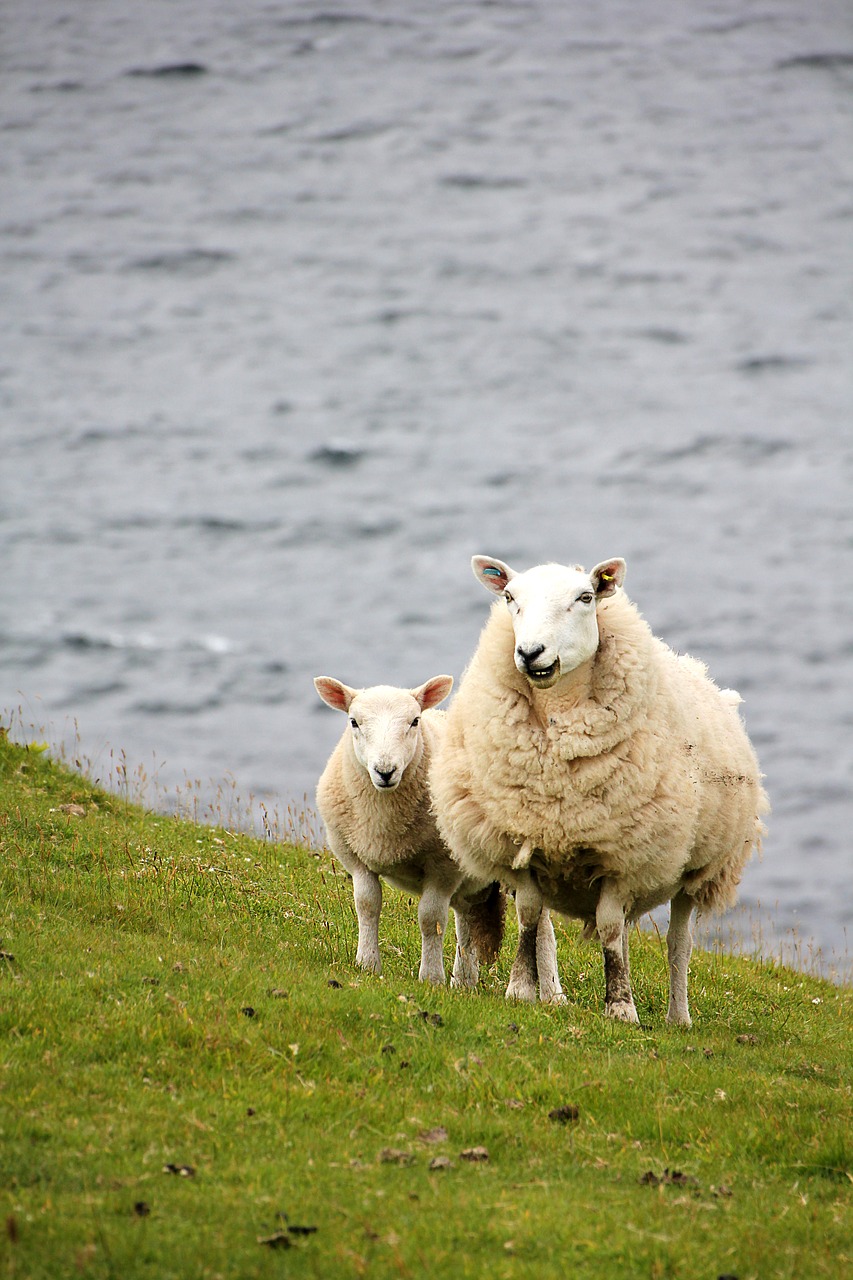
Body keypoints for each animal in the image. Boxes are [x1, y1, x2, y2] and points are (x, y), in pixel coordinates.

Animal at [312, 675, 502, 983]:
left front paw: (431, 977)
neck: (383, 821)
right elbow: (366, 904)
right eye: (354, 722)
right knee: (467, 919)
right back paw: (464, 981)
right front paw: (367, 963)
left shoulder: (444, 866)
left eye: (415, 721)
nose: (385, 771)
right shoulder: (354, 857)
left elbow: (431, 919)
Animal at [427, 555, 768, 1024]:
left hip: (697, 869)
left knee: (677, 944)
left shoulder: (622, 857)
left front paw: (620, 1007)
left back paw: (677, 1017)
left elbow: (607, 928)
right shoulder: (525, 843)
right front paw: (521, 989)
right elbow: (530, 916)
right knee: (610, 929)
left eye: (585, 598)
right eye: (510, 597)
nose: (530, 653)